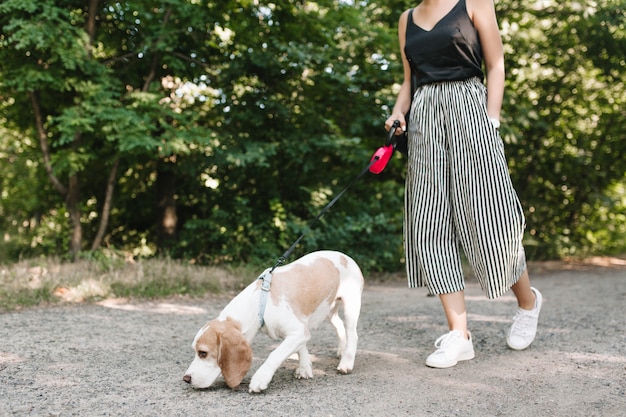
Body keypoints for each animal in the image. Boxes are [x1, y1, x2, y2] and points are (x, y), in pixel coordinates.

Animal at [183, 249, 364, 392]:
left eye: (203, 353)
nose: (186, 379)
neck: (260, 302)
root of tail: (345, 256)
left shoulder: (298, 332)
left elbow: (275, 354)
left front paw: (260, 378)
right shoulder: (300, 330)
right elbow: (302, 348)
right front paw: (304, 367)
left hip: (350, 306)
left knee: (352, 334)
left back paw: (346, 362)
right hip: (328, 310)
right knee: (340, 326)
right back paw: (341, 350)